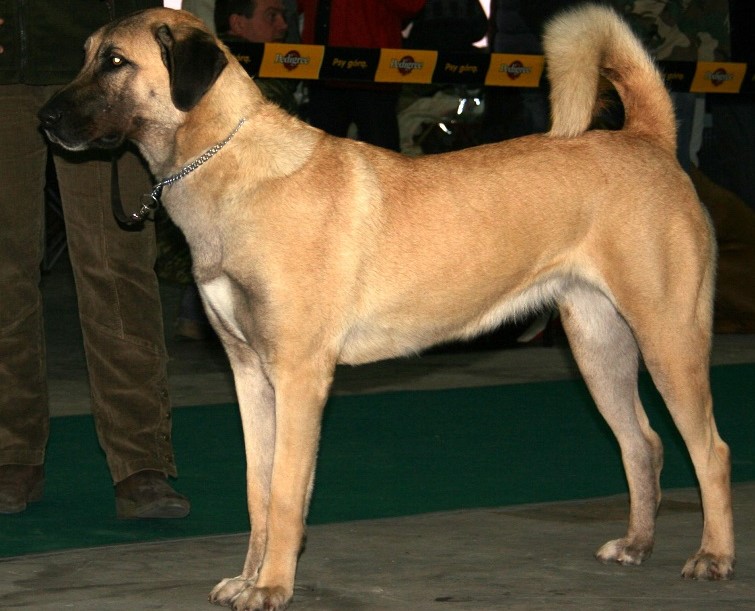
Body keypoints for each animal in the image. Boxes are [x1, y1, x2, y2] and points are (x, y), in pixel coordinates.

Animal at [39, 3, 732, 608]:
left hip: (669, 338)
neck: (227, 163)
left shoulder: (298, 375)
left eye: (115, 62)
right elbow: (258, 491)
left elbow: (286, 493)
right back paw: (637, 544)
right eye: (87, 55)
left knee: (710, 451)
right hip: (598, 345)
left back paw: (713, 557)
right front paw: (248, 577)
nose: (43, 118)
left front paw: (272, 587)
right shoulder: (249, 373)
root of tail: (648, 140)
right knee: (643, 444)